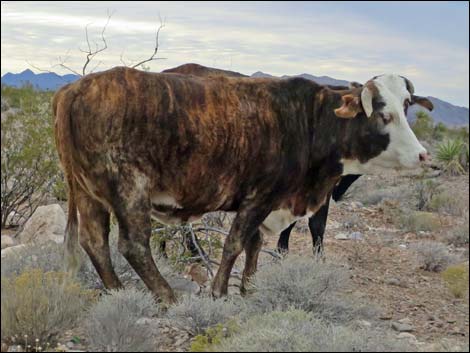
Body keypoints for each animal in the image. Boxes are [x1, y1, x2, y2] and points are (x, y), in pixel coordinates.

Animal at [53, 66, 432, 302]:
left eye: (406, 106)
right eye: (383, 113)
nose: (422, 155)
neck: (308, 121)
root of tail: (74, 89)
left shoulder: (266, 204)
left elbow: (252, 247)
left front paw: (249, 290)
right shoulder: (258, 198)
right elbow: (234, 245)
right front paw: (220, 293)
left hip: (88, 194)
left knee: (94, 242)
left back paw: (118, 292)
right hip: (129, 191)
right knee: (132, 245)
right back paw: (167, 297)